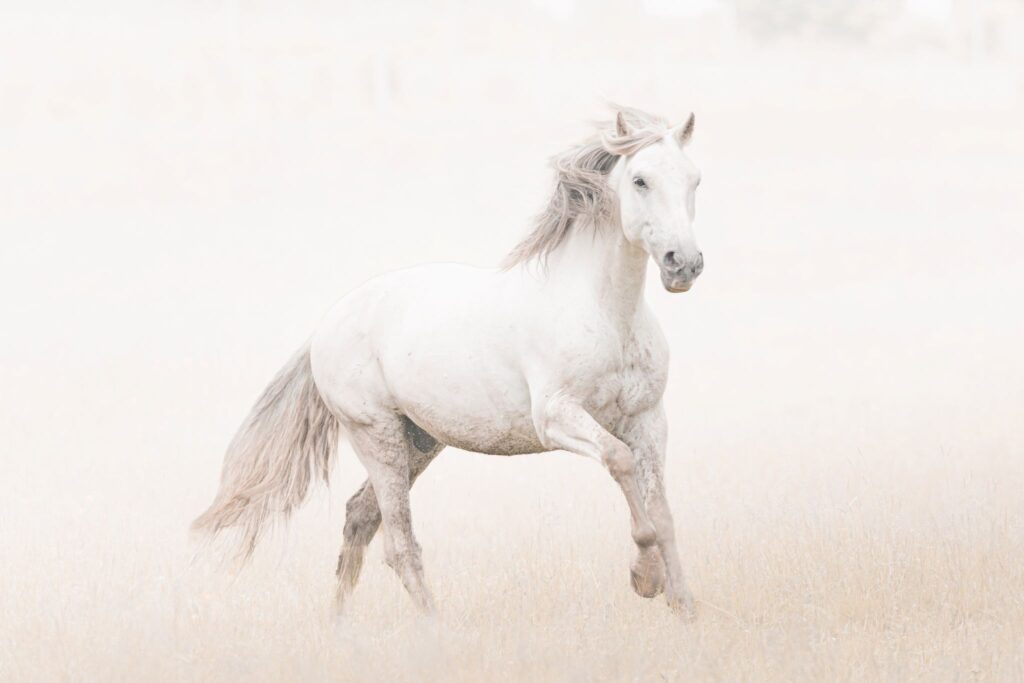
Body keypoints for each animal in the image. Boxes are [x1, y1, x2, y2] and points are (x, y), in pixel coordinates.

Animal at [192, 106, 705, 617]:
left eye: (694, 180)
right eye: (640, 180)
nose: (684, 264)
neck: (605, 312)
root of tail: (326, 326)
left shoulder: (648, 419)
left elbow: (663, 510)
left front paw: (683, 607)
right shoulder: (557, 417)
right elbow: (620, 463)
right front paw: (645, 578)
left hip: (419, 442)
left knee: (360, 517)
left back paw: (338, 623)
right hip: (376, 436)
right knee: (398, 543)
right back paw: (433, 625)